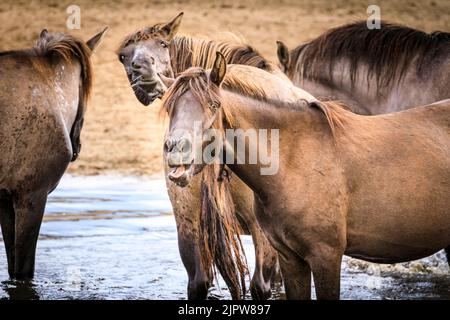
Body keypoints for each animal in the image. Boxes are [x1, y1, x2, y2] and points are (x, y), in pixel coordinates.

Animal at [162, 55, 450, 300]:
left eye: (213, 104)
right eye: (170, 108)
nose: (175, 148)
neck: (292, 162)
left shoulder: (326, 257)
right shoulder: (290, 258)